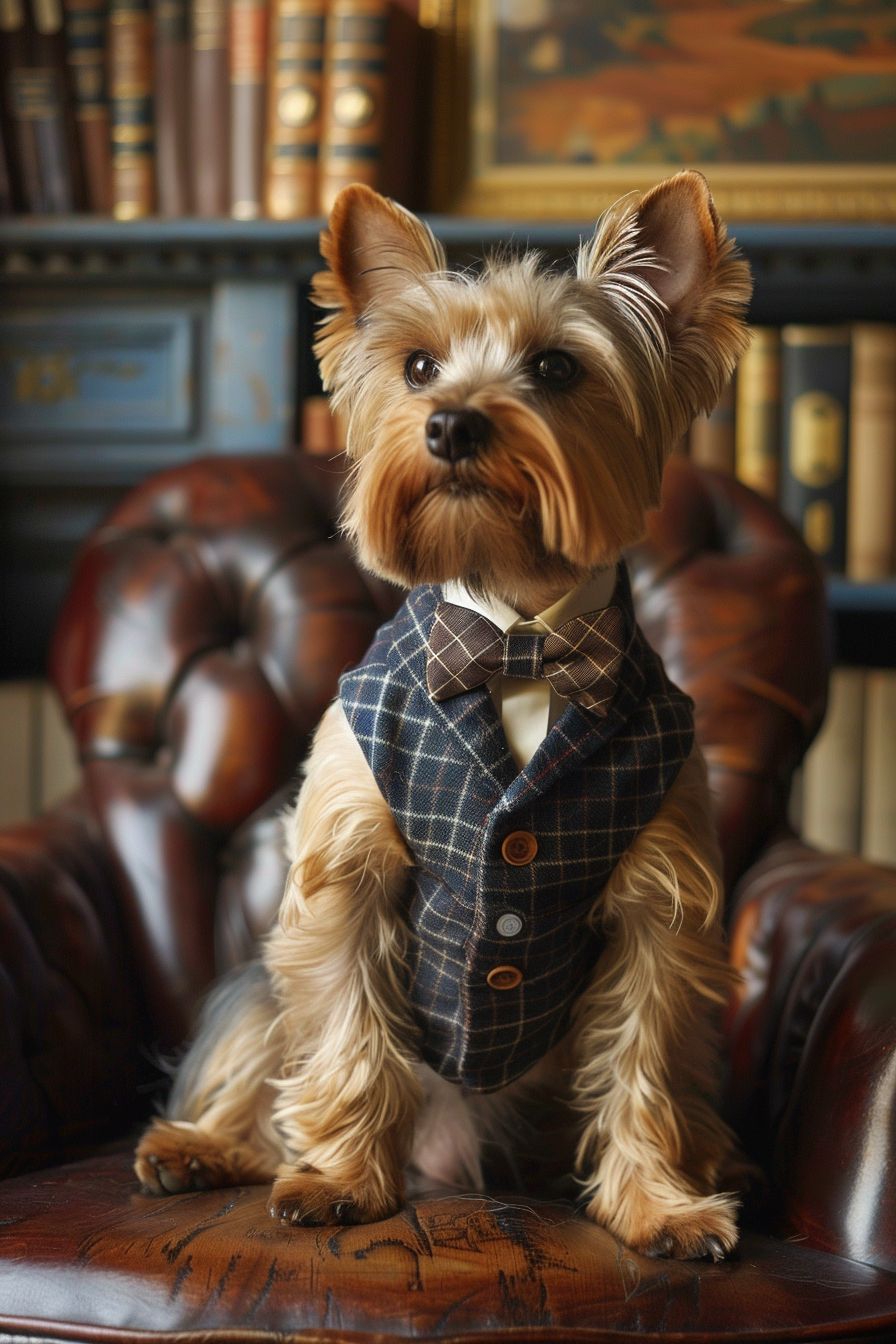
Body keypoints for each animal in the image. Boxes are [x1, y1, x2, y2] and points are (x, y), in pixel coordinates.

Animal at [135, 170, 752, 1257]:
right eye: (418, 366)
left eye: (556, 367)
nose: (452, 423)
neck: (516, 640)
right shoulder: (346, 868)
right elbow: (348, 1032)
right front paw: (342, 1182)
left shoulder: (657, 902)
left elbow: (643, 1059)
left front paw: (659, 1206)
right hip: (262, 979)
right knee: (262, 1046)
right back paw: (199, 1149)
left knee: (681, 1082)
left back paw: (710, 1159)